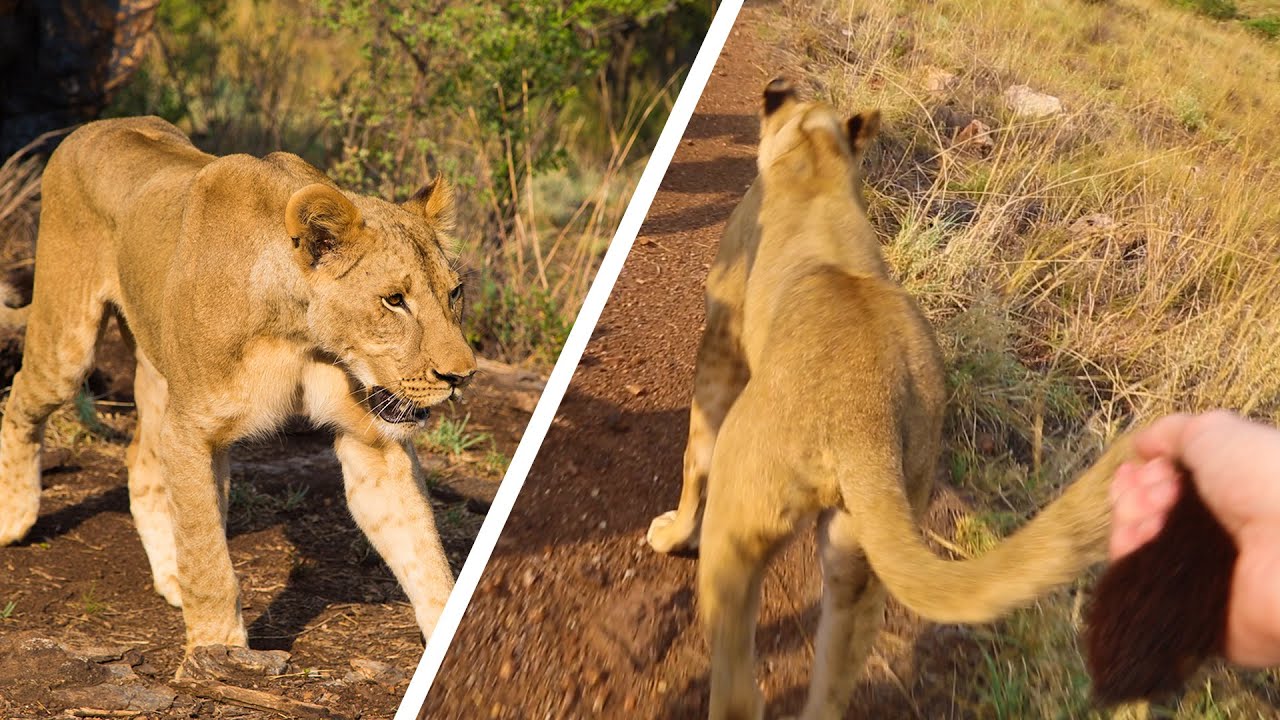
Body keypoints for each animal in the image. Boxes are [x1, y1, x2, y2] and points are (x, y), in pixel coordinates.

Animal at [0, 116, 476, 658]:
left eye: (454, 292)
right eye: (394, 300)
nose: (462, 376)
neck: (302, 336)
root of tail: (96, 125)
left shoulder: (374, 441)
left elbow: (425, 555)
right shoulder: (192, 432)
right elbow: (210, 561)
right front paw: (216, 652)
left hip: (160, 369)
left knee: (142, 458)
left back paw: (170, 574)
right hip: (67, 344)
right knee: (23, 397)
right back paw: (13, 517)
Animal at [646, 81, 1138, 719]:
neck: (815, 162)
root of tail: (865, 419)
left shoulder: (720, 347)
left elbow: (694, 456)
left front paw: (674, 533)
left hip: (740, 526)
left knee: (737, 691)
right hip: (860, 564)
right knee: (829, 692)